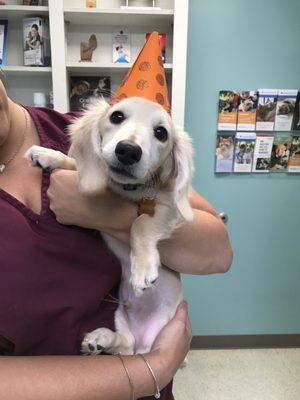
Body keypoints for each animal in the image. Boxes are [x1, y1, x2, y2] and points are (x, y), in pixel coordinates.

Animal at [25, 97, 195, 354]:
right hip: (120, 317)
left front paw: (143, 269)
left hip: (161, 329)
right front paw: (47, 154)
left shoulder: (167, 209)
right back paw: (100, 339)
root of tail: (141, 345)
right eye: (117, 117)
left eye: (161, 133)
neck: (124, 189)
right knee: (123, 341)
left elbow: (140, 224)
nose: (128, 150)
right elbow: (75, 163)